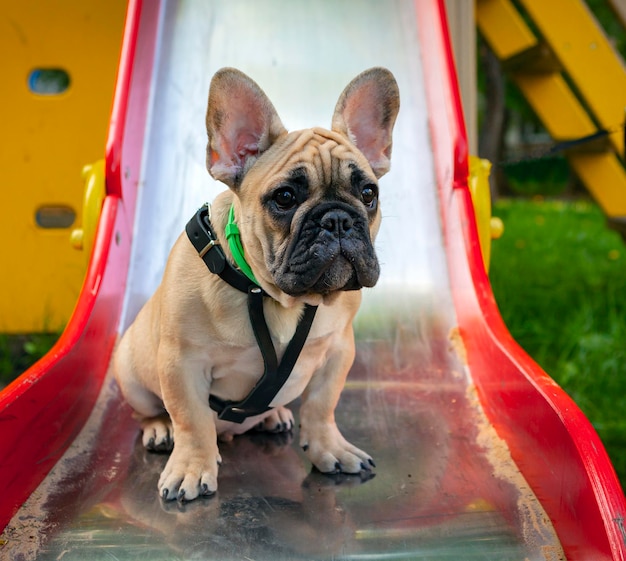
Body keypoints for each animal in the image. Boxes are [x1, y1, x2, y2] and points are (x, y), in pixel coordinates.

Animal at [112, 65, 398, 498]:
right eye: (284, 197)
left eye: (368, 193)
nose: (337, 219)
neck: (277, 297)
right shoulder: (182, 363)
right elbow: (190, 419)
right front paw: (191, 467)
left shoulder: (337, 352)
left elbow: (322, 405)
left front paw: (331, 449)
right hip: (130, 369)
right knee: (148, 412)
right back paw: (160, 429)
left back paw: (273, 415)